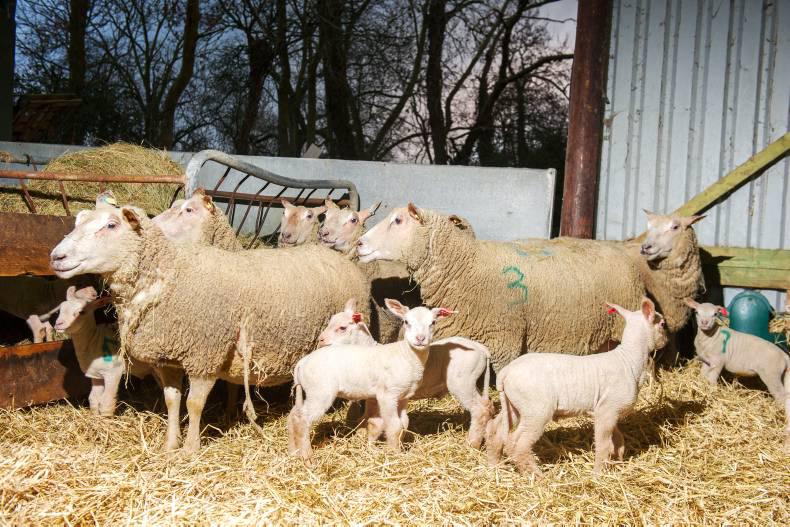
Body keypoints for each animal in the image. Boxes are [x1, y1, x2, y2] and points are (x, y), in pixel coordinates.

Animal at [52, 285, 153, 416]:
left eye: (81, 312)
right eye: (60, 309)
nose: (58, 324)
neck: (93, 342)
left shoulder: (113, 372)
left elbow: (106, 402)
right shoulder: (95, 375)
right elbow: (94, 398)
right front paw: (96, 417)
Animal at [287, 299, 455, 460]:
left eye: (433, 322)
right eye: (406, 322)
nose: (420, 338)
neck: (406, 355)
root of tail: (302, 363)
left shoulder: (402, 397)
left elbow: (403, 423)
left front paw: (396, 448)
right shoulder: (386, 395)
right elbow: (393, 425)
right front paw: (393, 453)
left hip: (311, 392)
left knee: (294, 415)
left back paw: (294, 451)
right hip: (320, 392)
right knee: (302, 420)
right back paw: (307, 457)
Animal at [317, 298, 493, 448]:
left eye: (342, 328)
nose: (320, 340)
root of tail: (481, 348)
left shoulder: (379, 396)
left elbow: (375, 422)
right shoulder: (373, 397)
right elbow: (370, 421)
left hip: (461, 382)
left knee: (479, 410)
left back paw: (472, 444)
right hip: (471, 382)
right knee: (487, 406)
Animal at [485, 298, 668, 475]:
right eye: (662, 324)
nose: (666, 341)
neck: (629, 359)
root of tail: (506, 372)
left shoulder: (611, 411)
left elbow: (618, 440)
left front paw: (618, 462)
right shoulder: (606, 410)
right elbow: (604, 445)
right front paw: (598, 475)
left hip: (515, 405)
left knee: (495, 430)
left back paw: (495, 467)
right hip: (536, 409)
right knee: (518, 443)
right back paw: (537, 476)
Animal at [686, 299, 790, 447]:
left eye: (715, 314)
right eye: (697, 312)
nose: (704, 323)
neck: (710, 337)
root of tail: (784, 355)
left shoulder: (718, 361)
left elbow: (712, 379)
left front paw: (712, 393)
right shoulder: (707, 362)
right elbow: (703, 375)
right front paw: (700, 387)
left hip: (771, 375)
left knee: (780, 395)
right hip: (782, 375)